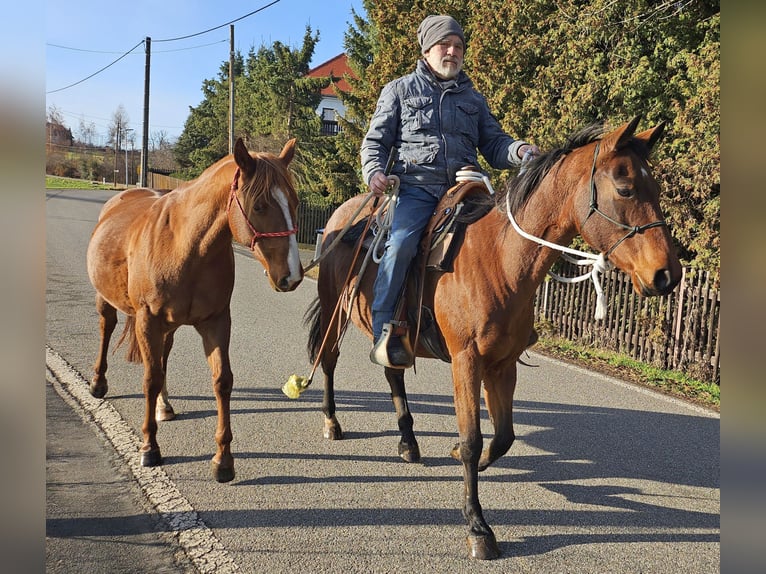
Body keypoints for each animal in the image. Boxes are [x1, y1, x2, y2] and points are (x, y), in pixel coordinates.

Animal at [86, 137, 302, 483]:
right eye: (259, 206)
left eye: (294, 203)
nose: (292, 275)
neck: (185, 247)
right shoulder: (148, 320)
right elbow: (150, 379)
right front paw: (149, 448)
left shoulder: (216, 322)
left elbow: (222, 381)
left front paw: (223, 460)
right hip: (108, 302)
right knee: (107, 331)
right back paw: (98, 383)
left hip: (169, 327)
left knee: (163, 358)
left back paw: (163, 406)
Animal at [305, 116, 682, 558]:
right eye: (625, 188)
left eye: (656, 189)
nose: (667, 274)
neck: (500, 258)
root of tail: (341, 215)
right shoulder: (466, 360)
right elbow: (472, 438)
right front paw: (478, 526)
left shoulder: (501, 364)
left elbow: (502, 438)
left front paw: (467, 457)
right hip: (334, 309)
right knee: (328, 360)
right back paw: (332, 421)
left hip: (396, 340)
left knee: (393, 372)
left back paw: (408, 442)